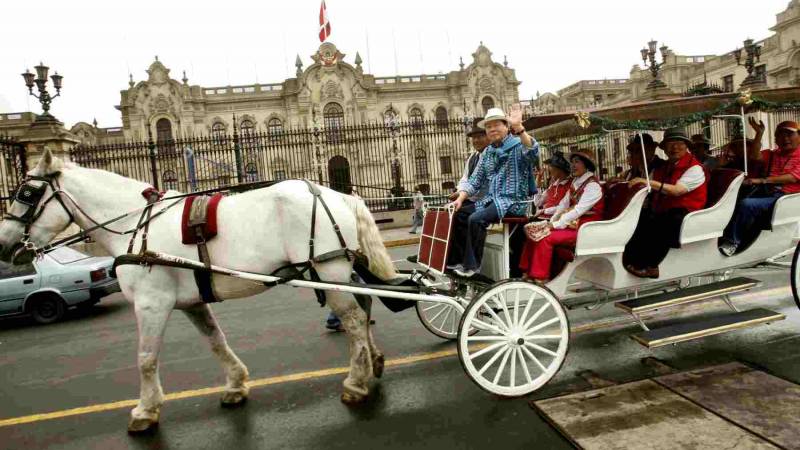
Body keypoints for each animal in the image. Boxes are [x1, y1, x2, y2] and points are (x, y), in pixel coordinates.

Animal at [0, 150, 398, 432]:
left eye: (26, 192)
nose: (4, 245)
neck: (136, 224)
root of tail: (338, 194)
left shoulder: (152, 303)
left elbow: (146, 357)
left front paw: (146, 409)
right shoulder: (190, 301)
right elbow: (215, 341)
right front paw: (235, 384)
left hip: (327, 268)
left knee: (353, 319)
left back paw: (356, 382)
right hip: (336, 271)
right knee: (363, 308)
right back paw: (373, 362)